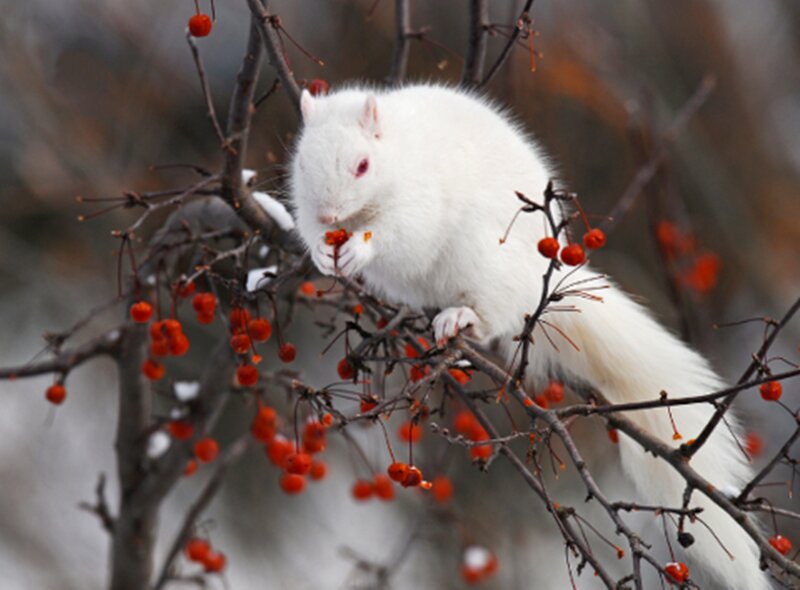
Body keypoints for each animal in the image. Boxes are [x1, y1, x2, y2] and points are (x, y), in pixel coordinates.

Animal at [289, 83, 769, 590]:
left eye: (362, 165)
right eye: (300, 164)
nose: (328, 214)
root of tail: (535, 287)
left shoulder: (418, 201)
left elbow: (397, 232)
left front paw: (360, 248)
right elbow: (309, 228)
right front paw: (320, 249)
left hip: (483, 265)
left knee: (492, 317)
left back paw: (459, 318)